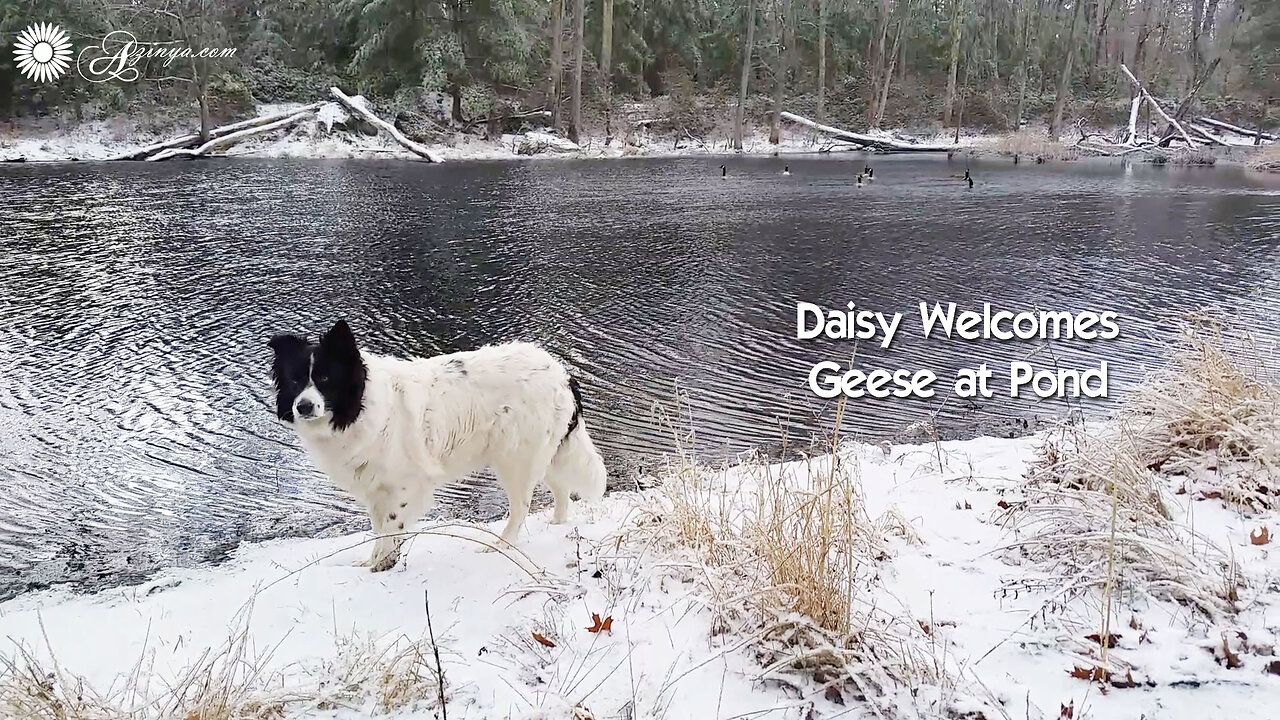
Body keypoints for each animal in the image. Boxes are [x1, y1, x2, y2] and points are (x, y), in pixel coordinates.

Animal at [267, 317, 606, 566]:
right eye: (296, 380)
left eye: (325, 379)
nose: (303, 407)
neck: (361, 404)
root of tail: (561, 373)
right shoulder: (376, 487)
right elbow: (378, 530)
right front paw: (372, 563)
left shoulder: (403, 483)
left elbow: (390, 527)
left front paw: (382, 566)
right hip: (542, 451)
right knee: (561, 488)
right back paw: (556, 525)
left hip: (515, 458)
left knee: (522, 506)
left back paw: (499, 547)